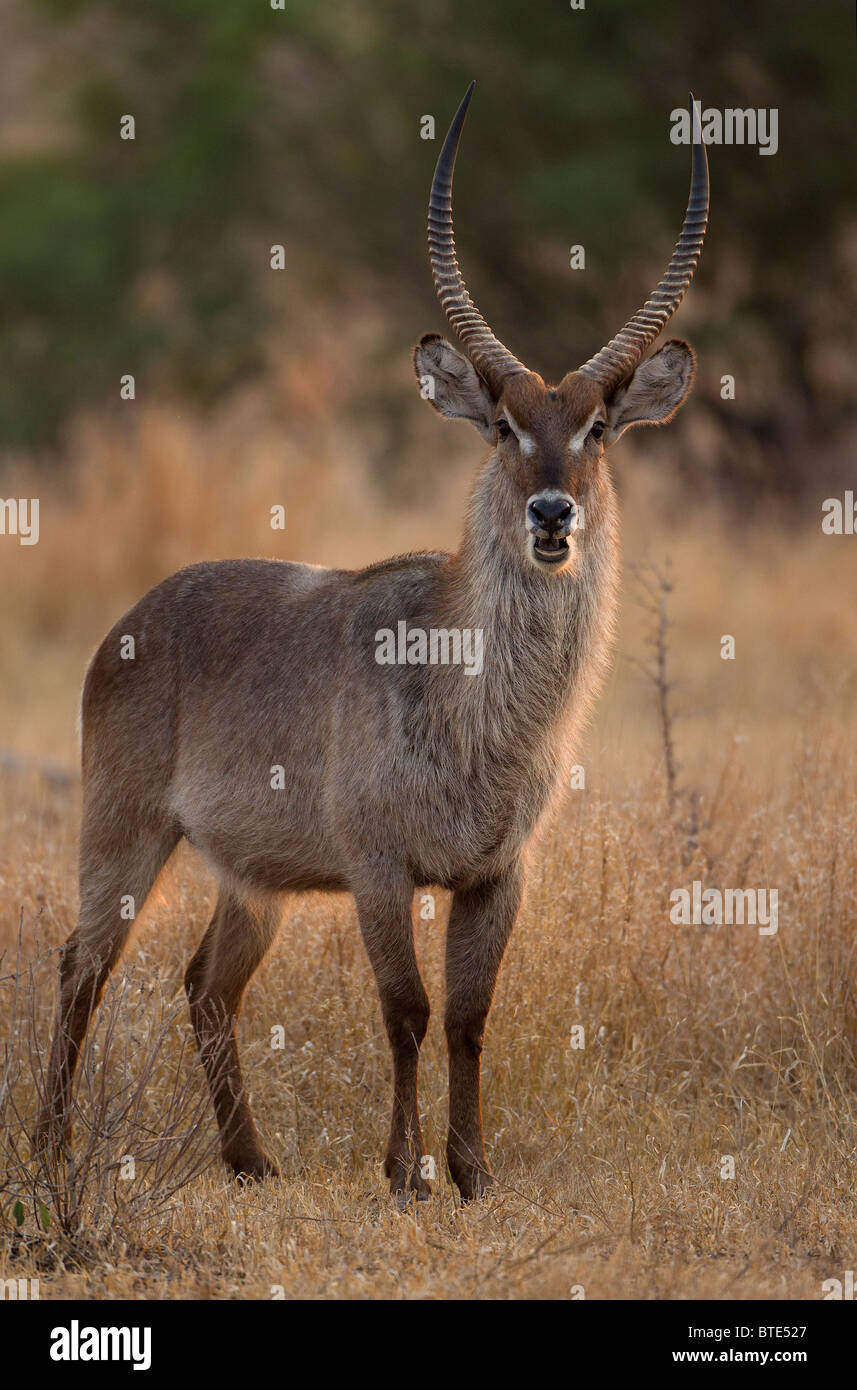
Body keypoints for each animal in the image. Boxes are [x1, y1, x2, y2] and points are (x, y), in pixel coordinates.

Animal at [36, 81, 708, 1200]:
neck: (476, 704)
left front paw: (472, 1173)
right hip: (122, 830)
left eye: (597, 428)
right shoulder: (379, 866)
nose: (552, 515)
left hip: (253, 877)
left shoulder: (496, 873)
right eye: (504, 427)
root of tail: (134, 617)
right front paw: (405, 1174)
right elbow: (405, 1012)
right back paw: (50, 1151)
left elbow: (471, 1016)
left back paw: (251, 1160)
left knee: (203, 984)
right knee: (82, 964)